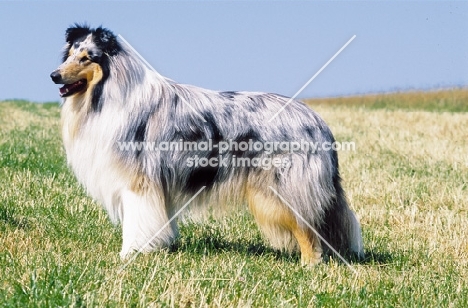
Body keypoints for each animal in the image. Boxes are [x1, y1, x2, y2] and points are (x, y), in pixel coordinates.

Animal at [52, 24, 366, 264]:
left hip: (282, 189)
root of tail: (318, 121)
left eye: (86, 58)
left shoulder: (138, 183)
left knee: (308, 229)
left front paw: (129, 255)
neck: (106, 93)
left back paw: (309, 265)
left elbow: (137, 222)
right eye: (69, 55)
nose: (54, 75)